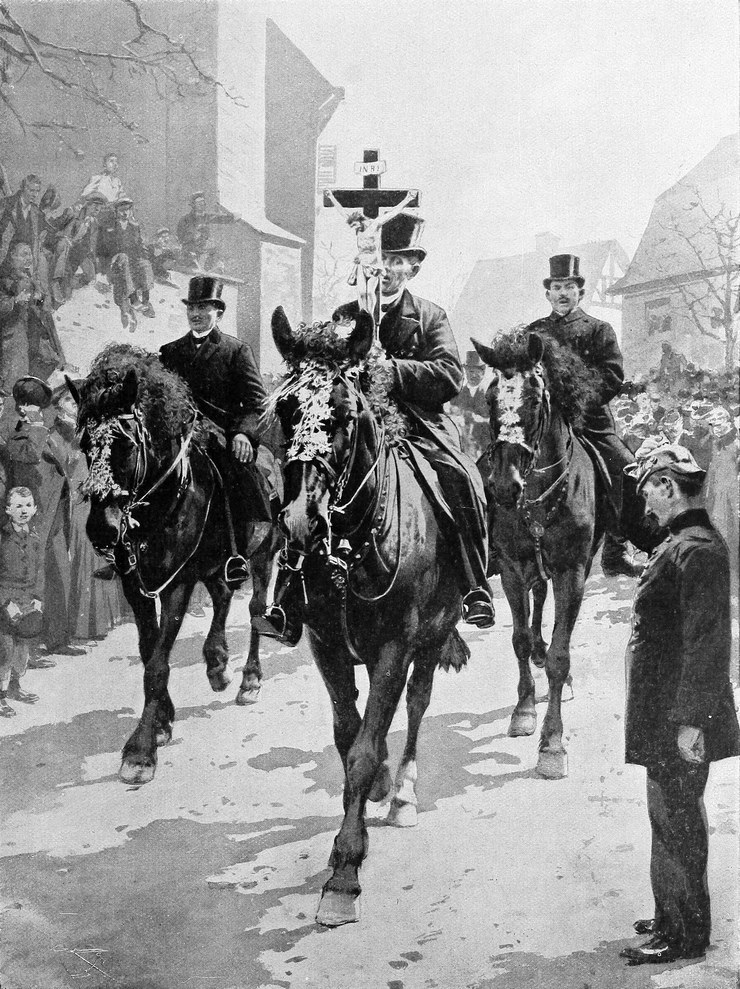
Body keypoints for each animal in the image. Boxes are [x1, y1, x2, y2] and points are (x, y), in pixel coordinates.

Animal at [70, 344, 279, 786]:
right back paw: (217, 662)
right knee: (222, 594)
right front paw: (163, 721)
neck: (161, 504)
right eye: (85, 445)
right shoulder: (135, 585)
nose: (101, 530)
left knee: (255, 609)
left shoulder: (177, 584)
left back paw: (249, 680)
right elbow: (149, 650)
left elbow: (157, 664)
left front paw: (140, 751)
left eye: (126, 444)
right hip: (217, 563)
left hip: (263, 554)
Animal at [268, 307, 470, 927]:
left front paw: (344, 872)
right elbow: (347, 733)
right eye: (285, 408)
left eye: (344, 411)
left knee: (418, 702)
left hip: (431, 637)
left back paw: (403, 791)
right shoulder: (326, 645)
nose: (301, 521)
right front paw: (373, 779)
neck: (352, 543)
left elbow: (360, 751)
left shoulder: (393, 648)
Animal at [472, 330, 606, 779]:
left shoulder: (572, 572)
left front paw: (551, 744)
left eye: (534, 399)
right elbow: (517, 638)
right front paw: (524, 710)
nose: (503, 486)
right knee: (535, 608)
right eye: (490, 398)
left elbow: (561, 658)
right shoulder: (512, 569)